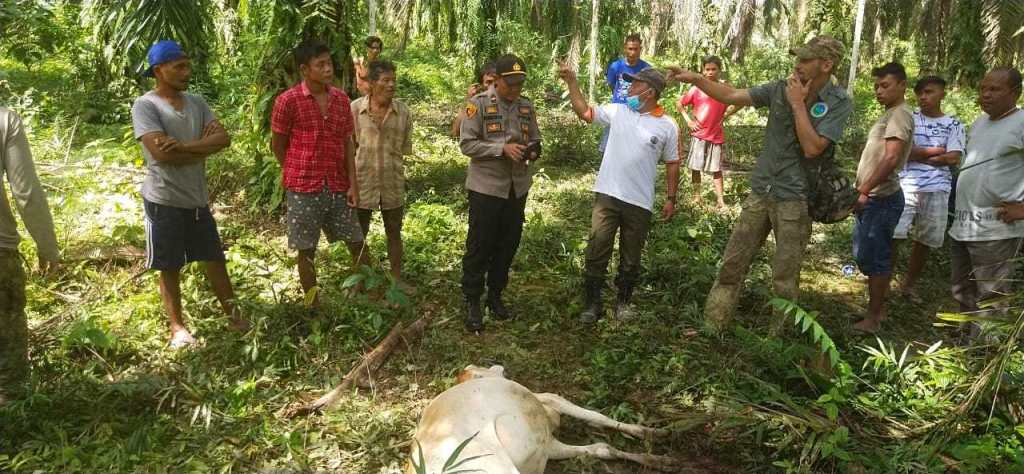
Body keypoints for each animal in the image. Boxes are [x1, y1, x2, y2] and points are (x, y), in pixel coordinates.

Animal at [406, 365, 680, 473]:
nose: (499, 367)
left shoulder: (549, 446)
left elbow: (603, 448)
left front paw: (659, 458)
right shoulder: (545, 399)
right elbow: (595, 415)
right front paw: (650, 432)